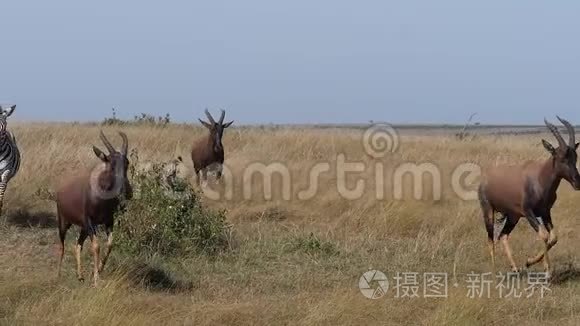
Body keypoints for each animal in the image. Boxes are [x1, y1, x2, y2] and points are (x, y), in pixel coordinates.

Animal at [55, 130, 133, 286]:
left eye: (127, 163)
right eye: (111, 164)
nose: (127, 191)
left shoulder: (108, 221)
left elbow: (110, 244)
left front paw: (97, 271)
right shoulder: (90, 222)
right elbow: (96, 246)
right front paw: (96, 279)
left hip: (84, 228)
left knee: (78, 245)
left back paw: (80, 276)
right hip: (65, 222)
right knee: (62, 245)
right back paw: (59, 275)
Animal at [478, 116, 576, 278]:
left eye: (575, 157)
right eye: (561, 157)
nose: (577, 182)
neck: (539, 179)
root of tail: (484, 181)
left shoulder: (545, 212)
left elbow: (553, 238)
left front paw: (529, 262)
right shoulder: (529, 212)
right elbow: (544, 235)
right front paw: (547, 271)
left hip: (513, 216)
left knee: (503, 235)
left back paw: (515, 268)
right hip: (488, 211)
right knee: (491, 238)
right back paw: (494, 271)